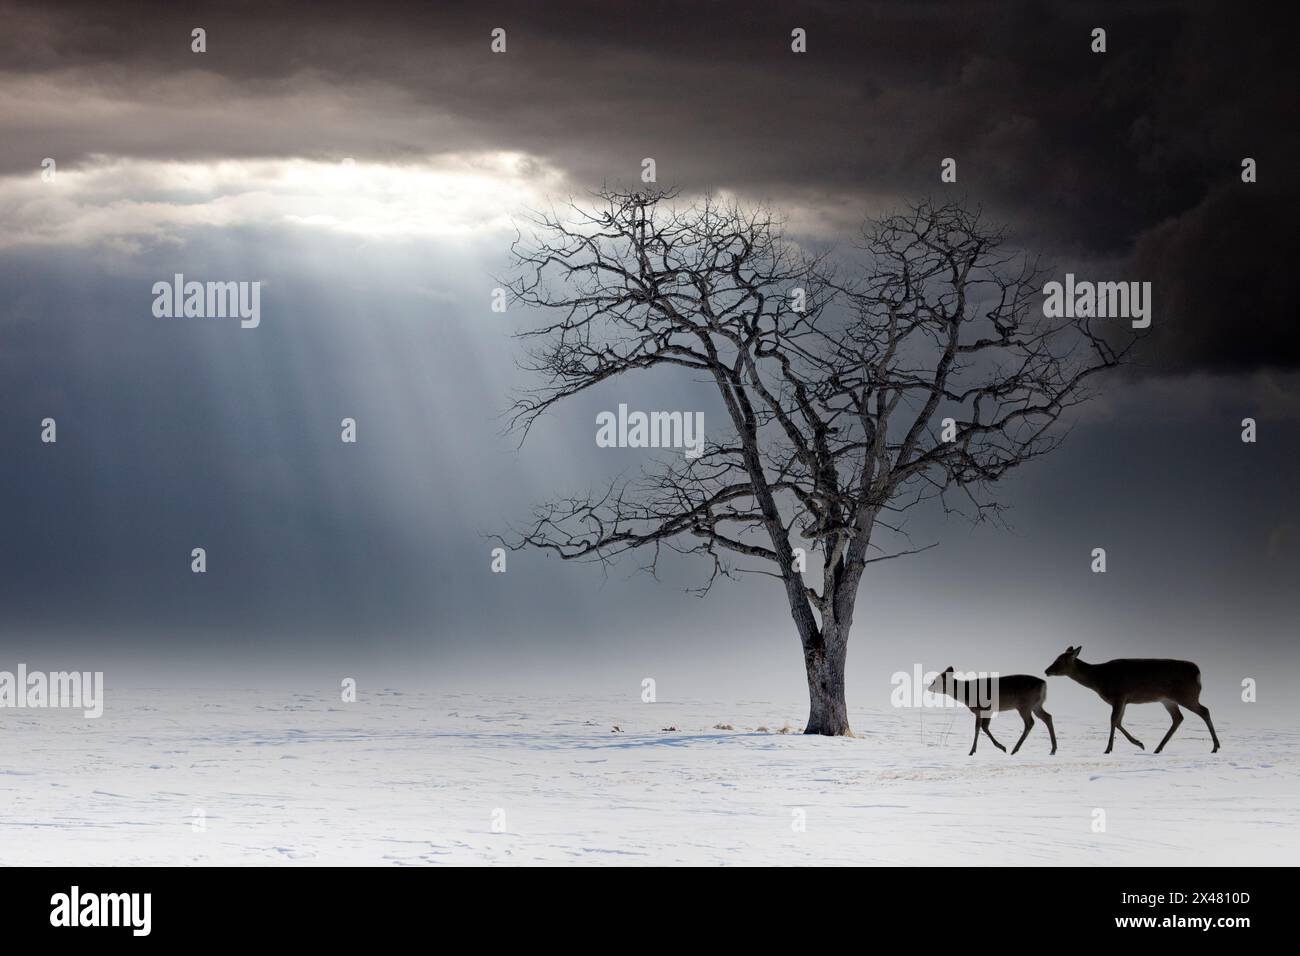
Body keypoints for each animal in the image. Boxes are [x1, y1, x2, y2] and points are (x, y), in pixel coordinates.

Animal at [927, 666, 1057, 756]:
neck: (966, 694)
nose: (928, 688)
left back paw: (1015, 749)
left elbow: (979, 727)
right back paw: (1053, 749)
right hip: (1036, 705)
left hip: (1024, 705)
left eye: (935, 680)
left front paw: (972, 751)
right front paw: (1000, 747)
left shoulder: (983, 709)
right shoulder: (986, 711)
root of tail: (1043, 684)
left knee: (1030, 722)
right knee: (1047, 717)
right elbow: (984, 727)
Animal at [1045, 646, 1220, 754]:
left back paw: (1215, 746)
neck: (1099, 679)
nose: (1046, 670)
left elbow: (1113, 720)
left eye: (1059, 660)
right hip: (1168, 699)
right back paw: (1158, 748)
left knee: (1204, 711)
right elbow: (1118, 722)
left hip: (1186, 695)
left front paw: (1108, 749)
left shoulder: (1119, 696)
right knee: (1178, 717)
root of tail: (1198, 673)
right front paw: (1139, 744)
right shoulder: (1124, 700)